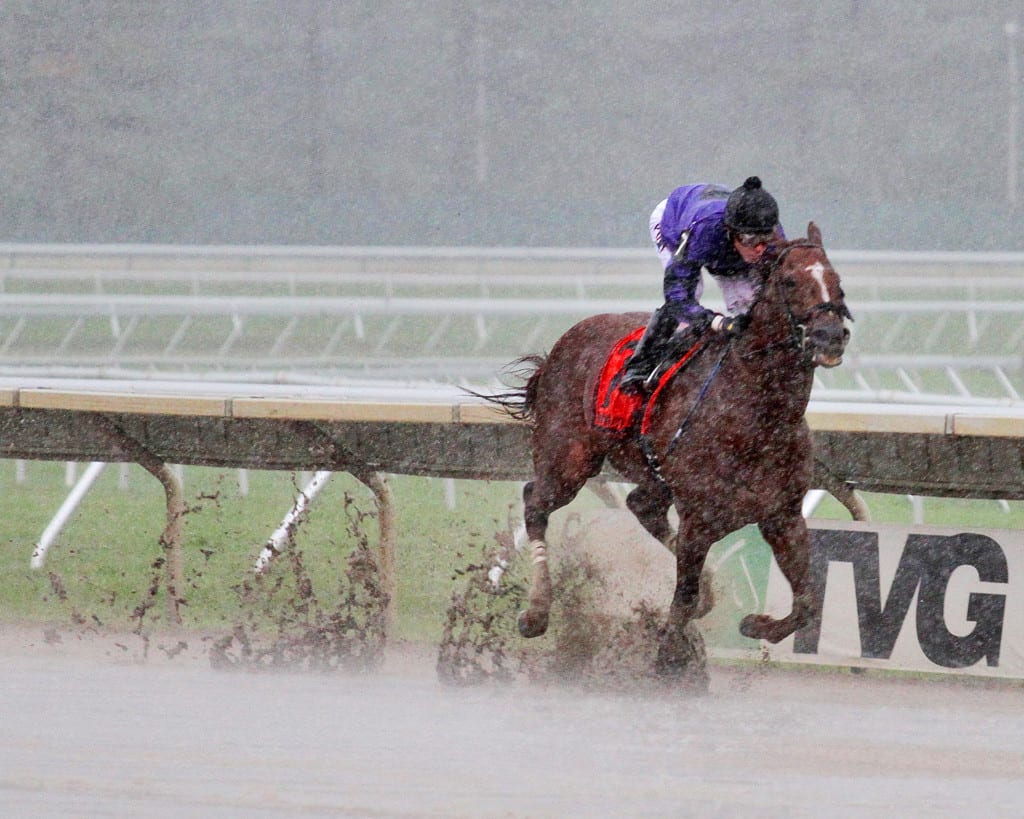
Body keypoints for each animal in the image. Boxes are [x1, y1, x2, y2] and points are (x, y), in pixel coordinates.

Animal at [483, 225, 851, 679]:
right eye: (789, 281)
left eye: (837, 282)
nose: (829, 337)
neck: (755, 414)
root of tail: (559, 347)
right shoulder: (698, 518)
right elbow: (683, 596)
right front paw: (670, 660)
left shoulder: (782, 516)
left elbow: (806, 603)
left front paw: (754, 623)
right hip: (568, 457)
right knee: (536, 502)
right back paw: (536, 613)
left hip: (648, 472)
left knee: (642, 505)